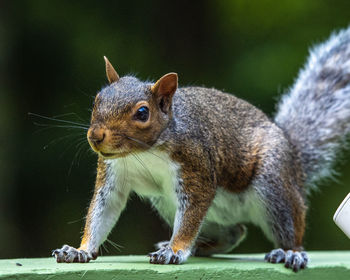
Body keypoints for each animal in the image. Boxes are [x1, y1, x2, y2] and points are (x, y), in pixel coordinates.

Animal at [52, 26, 350, 272]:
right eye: (96, 100)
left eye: (142, 113)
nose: (95, 136)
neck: (142, 153)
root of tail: (295, 161)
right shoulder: (112, 174)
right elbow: (102, 211)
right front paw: (80, 250)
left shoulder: (196, 166)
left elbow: (192, 213)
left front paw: (175, 250)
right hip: (167, 202)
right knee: (234, 232)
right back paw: (199, 246)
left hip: (273, 182)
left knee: (289, 225)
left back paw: (290, 253)